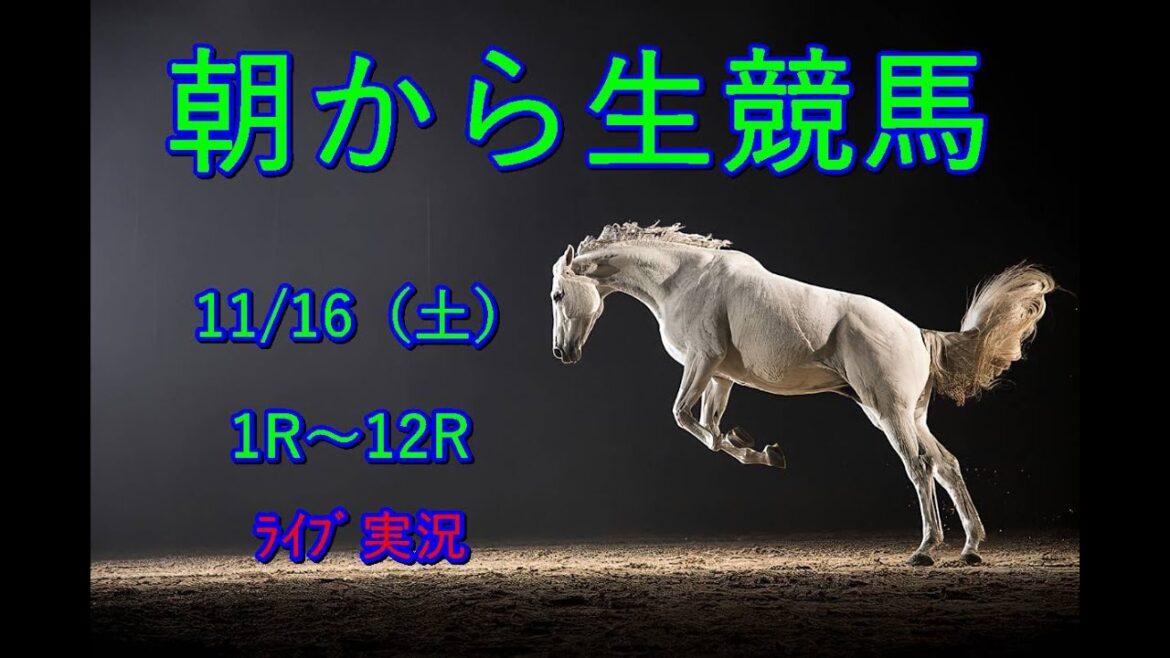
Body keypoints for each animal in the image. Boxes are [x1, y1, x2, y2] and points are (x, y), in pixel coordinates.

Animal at [549, 222, 1056, 566]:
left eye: (557, 295)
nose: (561, 352)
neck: (684, 279)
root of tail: (917, 332)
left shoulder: (702, 362)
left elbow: (683, 417)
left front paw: (756, 447)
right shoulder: (720, 376)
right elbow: (709, 429)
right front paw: (761, 449)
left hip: (890, 413)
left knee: (920, 467)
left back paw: (926, 550)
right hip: (906, 415)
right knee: (947, 465)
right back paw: (970, 547)